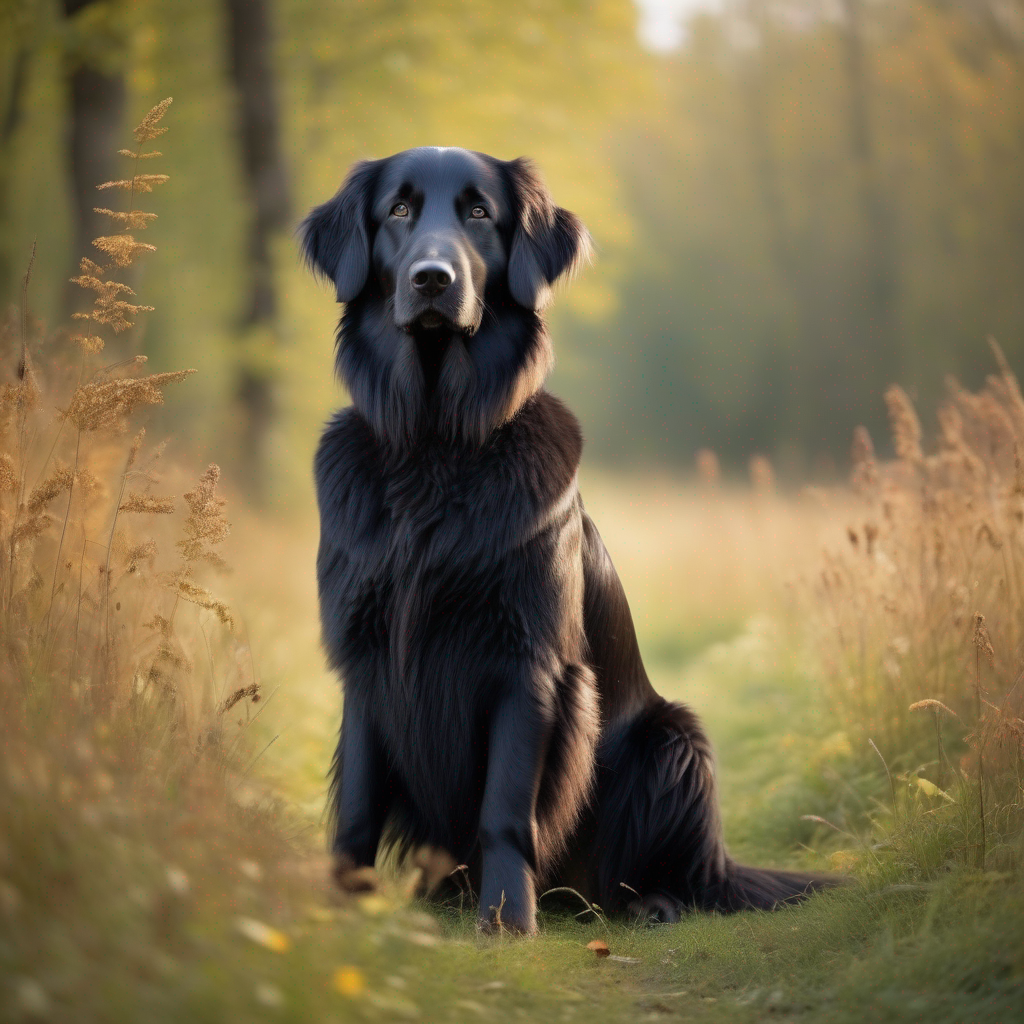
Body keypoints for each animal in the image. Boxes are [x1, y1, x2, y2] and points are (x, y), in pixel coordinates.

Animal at [301, 146, 831, 937]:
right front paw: (341, 911)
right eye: (397, 210)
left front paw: (505, 922)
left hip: (673, 740)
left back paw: (650, 902)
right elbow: (359, 809)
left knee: (663, 874)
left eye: (479, 212)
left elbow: (504, 808)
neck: (436, 445)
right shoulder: (365, 659)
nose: (432, 279)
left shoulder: (530, 662)